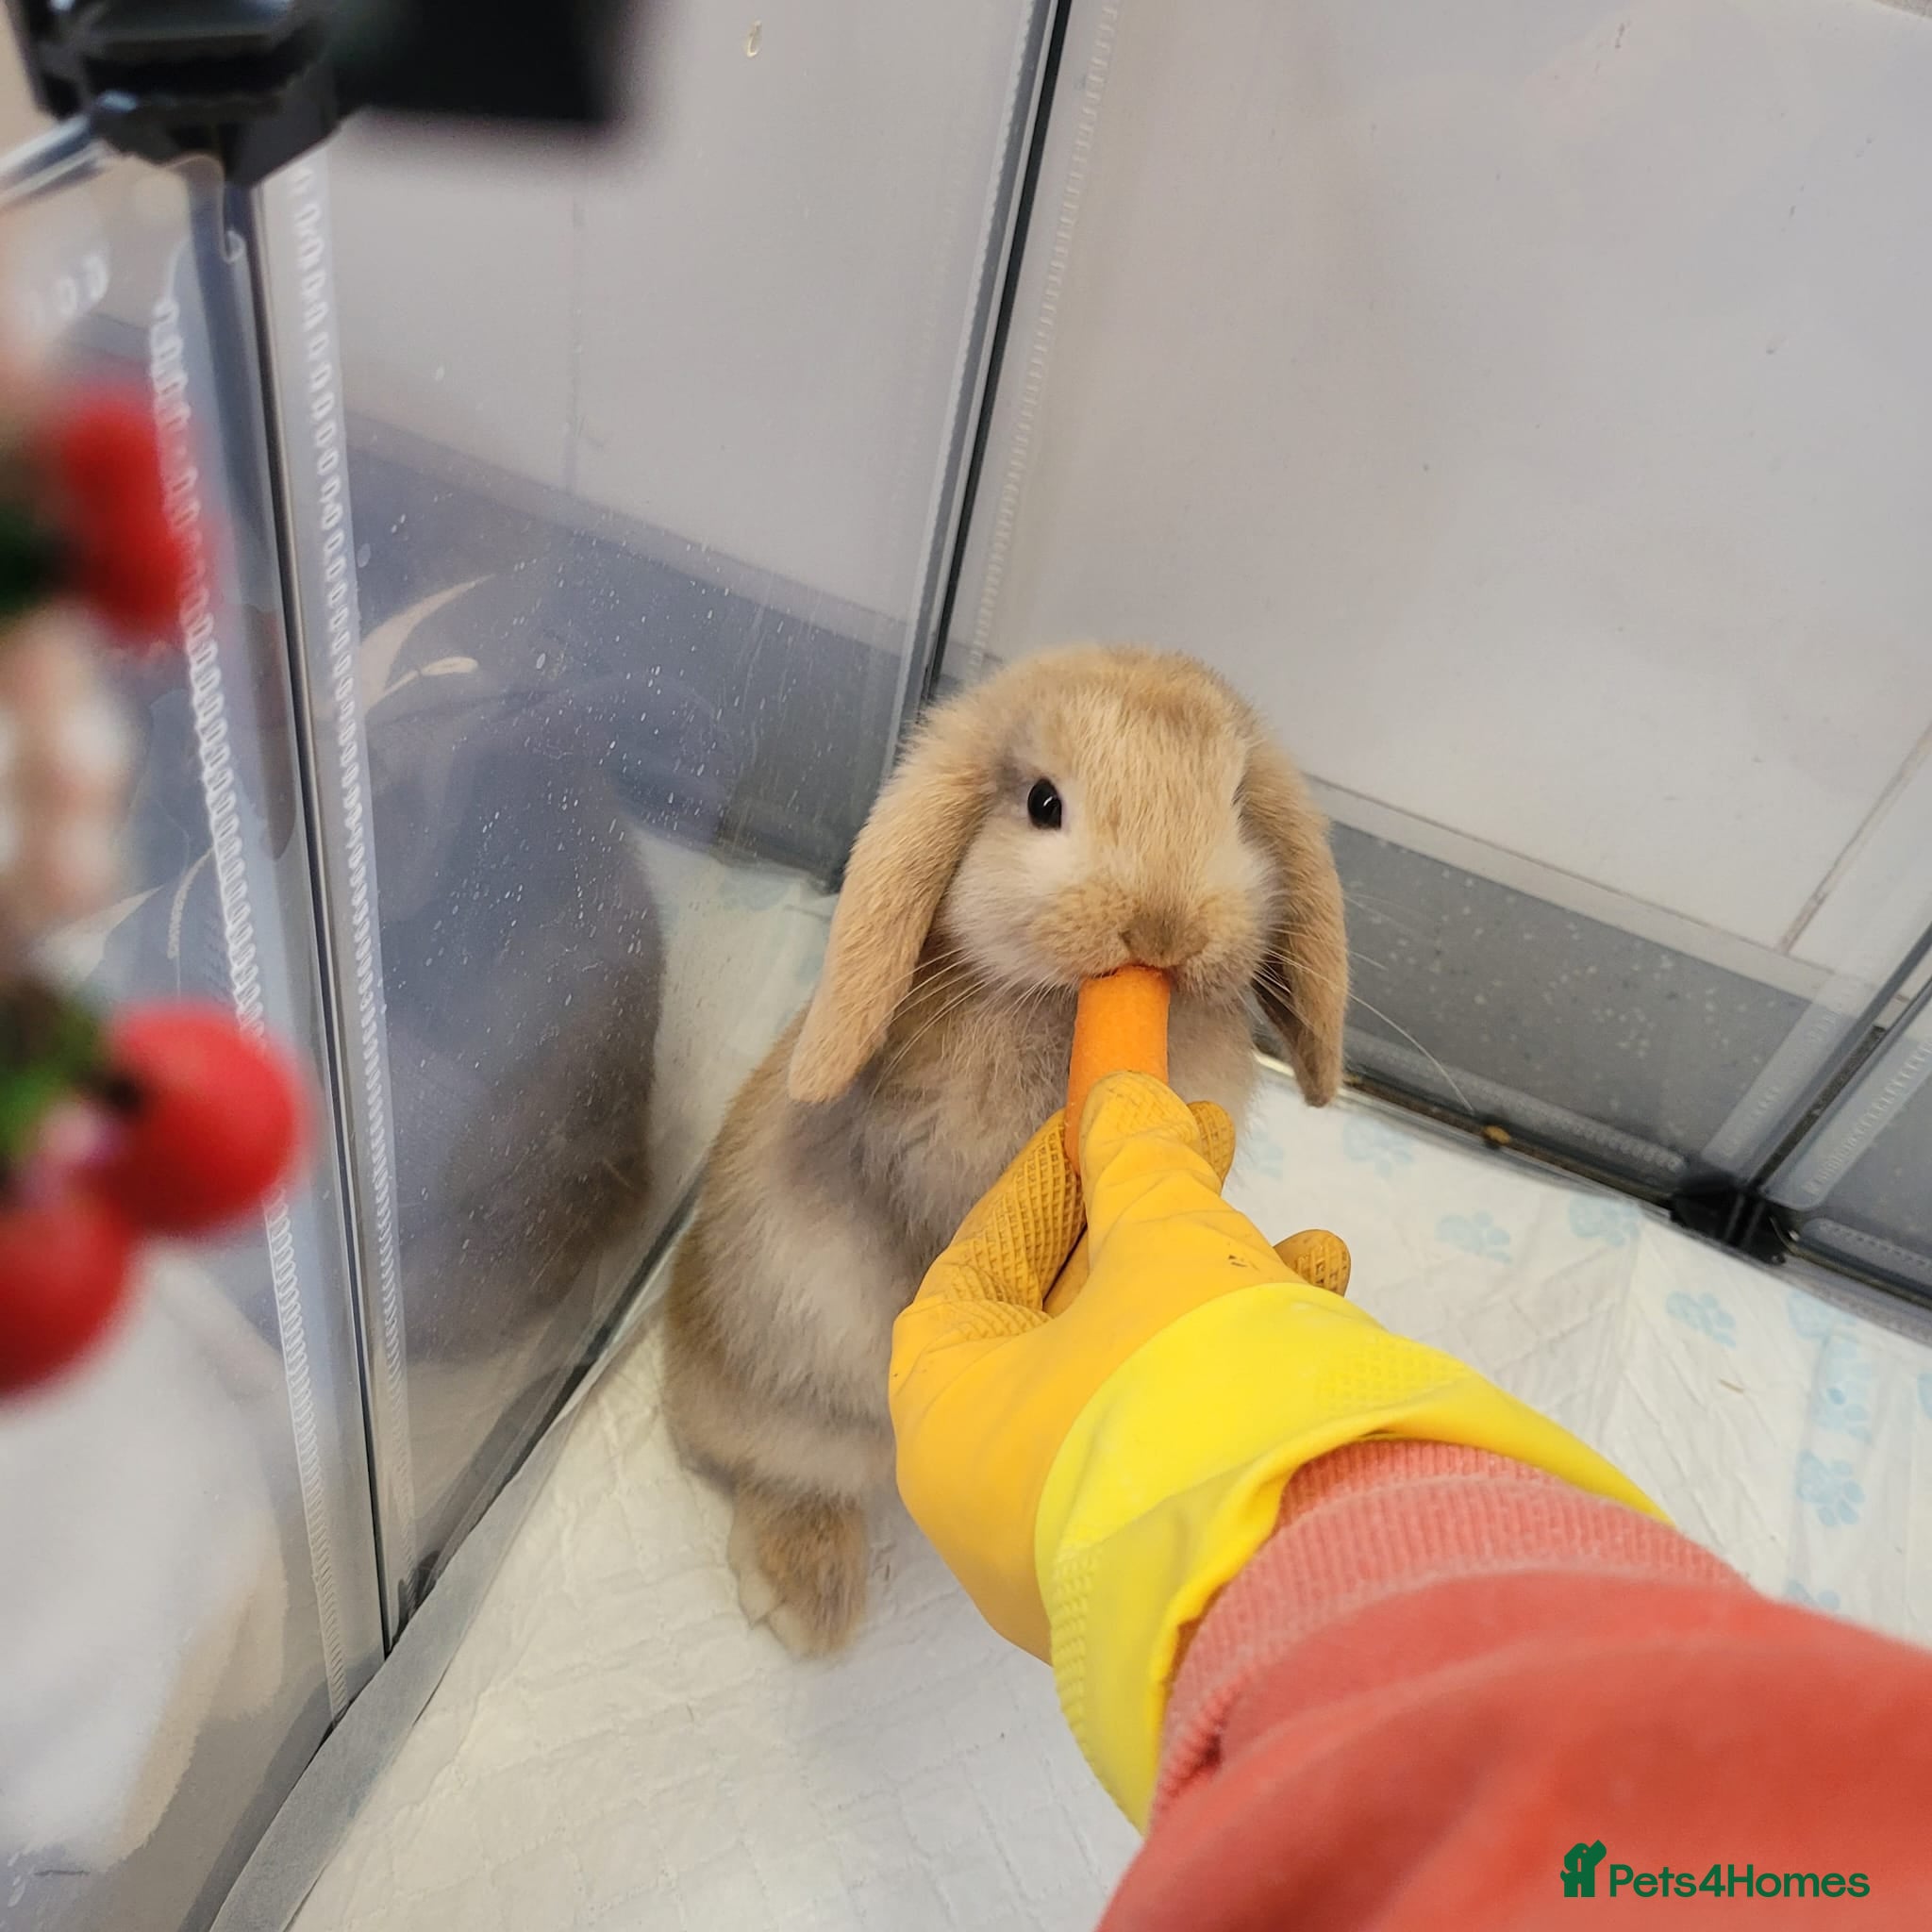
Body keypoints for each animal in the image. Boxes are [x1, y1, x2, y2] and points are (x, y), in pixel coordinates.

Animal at [662, 644, 1348, 1655]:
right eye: (1043, 803)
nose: (1163, 927)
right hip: (805, 1401)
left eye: (1232, 805)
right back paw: (807, 1600)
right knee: (775, 1470)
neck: (1056, 1014)